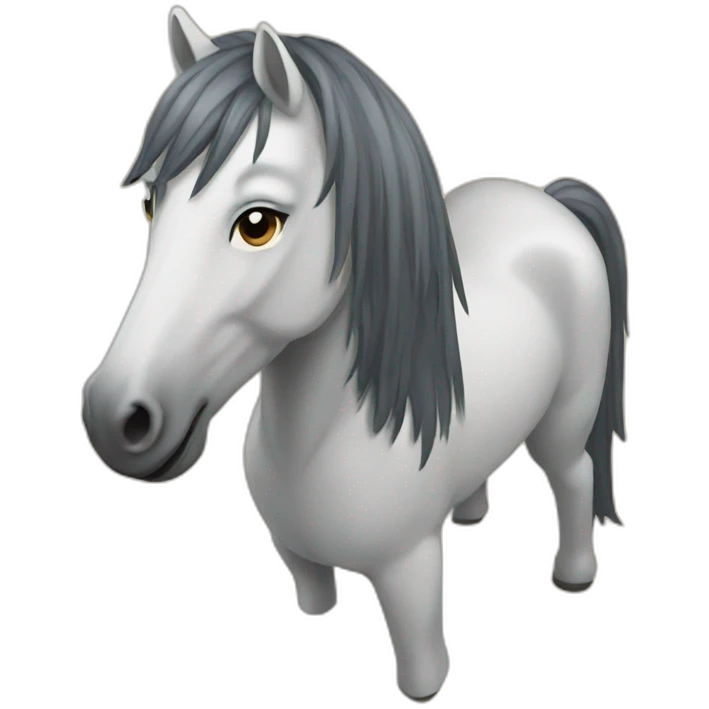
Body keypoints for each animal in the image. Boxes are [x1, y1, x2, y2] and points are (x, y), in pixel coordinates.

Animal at [81, 7, 629, 702]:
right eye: (152, 203)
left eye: (258, 223)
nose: (114, 418)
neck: (325, 437)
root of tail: (550, 200)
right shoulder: (299, 560)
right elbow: (316, 600)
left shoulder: (409, 571)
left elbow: (422, 659)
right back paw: (469, 514)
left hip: (564, 419)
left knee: (575, 475)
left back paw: (573, 575)